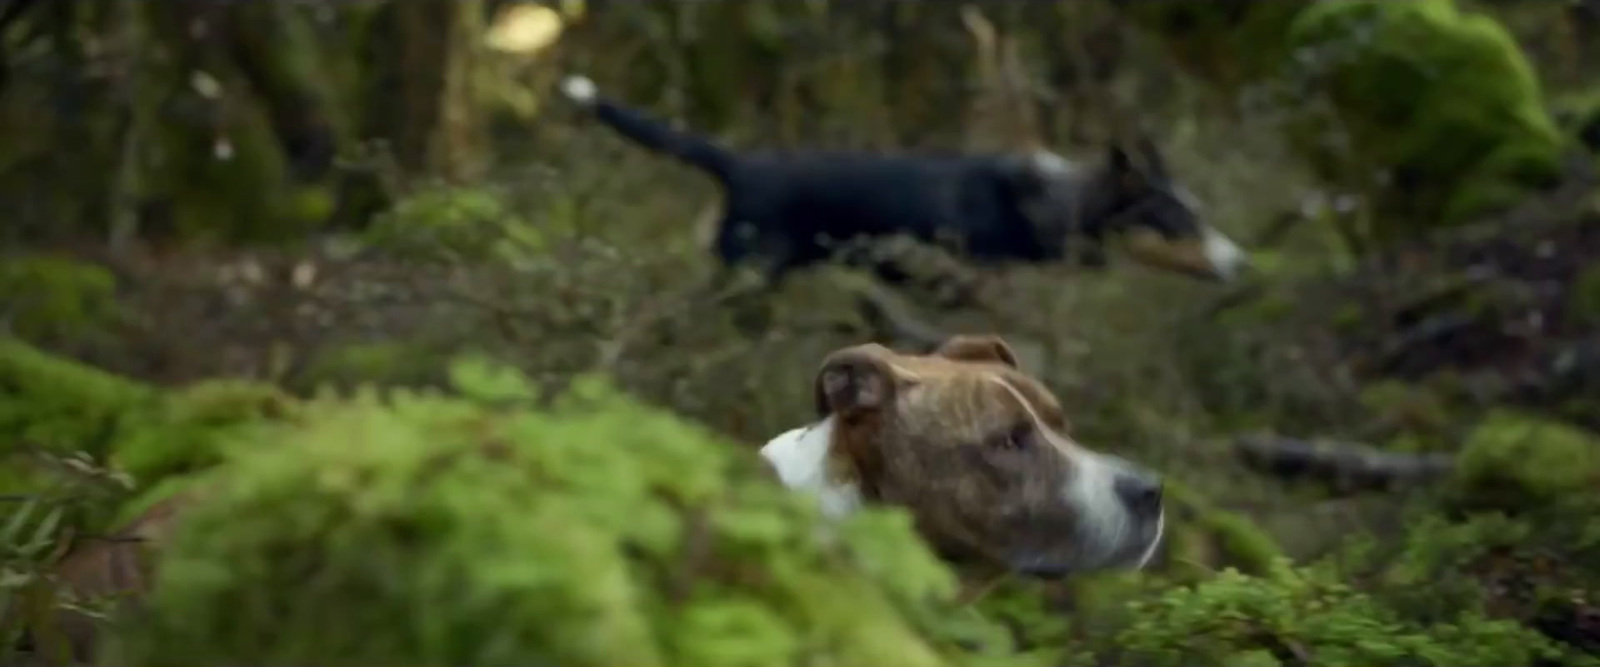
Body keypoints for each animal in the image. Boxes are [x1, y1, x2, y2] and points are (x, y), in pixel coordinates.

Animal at [563, 73, 1248, 297]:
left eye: (1202, 213)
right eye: (1178, 222)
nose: (1243, 262)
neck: (1057, 203)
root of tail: (738, 163)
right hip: (747, 275)